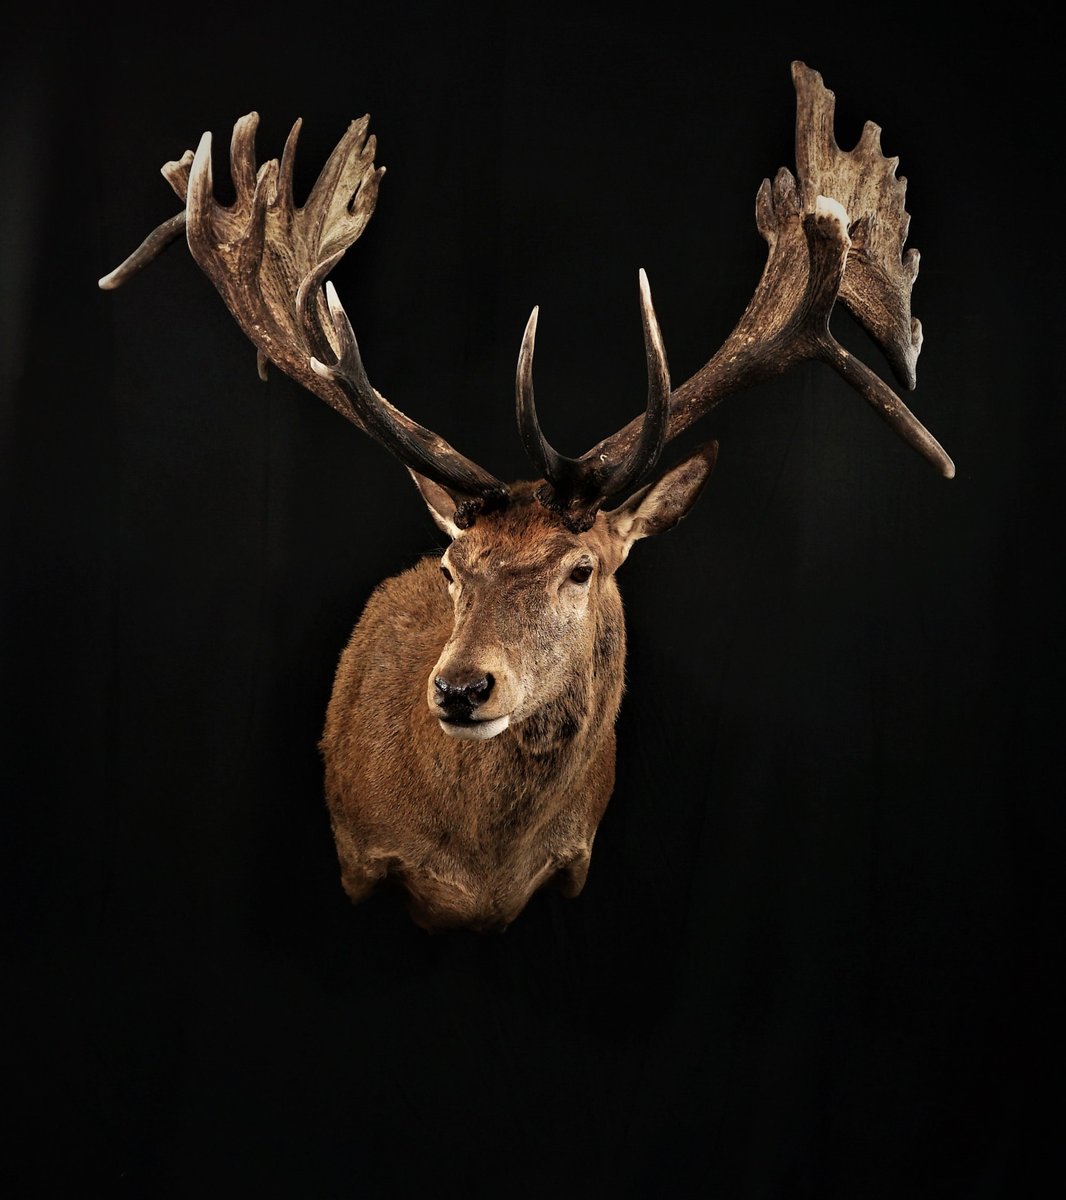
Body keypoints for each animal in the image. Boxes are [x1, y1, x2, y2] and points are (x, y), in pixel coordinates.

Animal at [99, 62, 954, 933]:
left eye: (581, 569)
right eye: (453, 567)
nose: (461, 688)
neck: (481, 869)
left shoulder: (572, 867)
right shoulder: (359, 857)